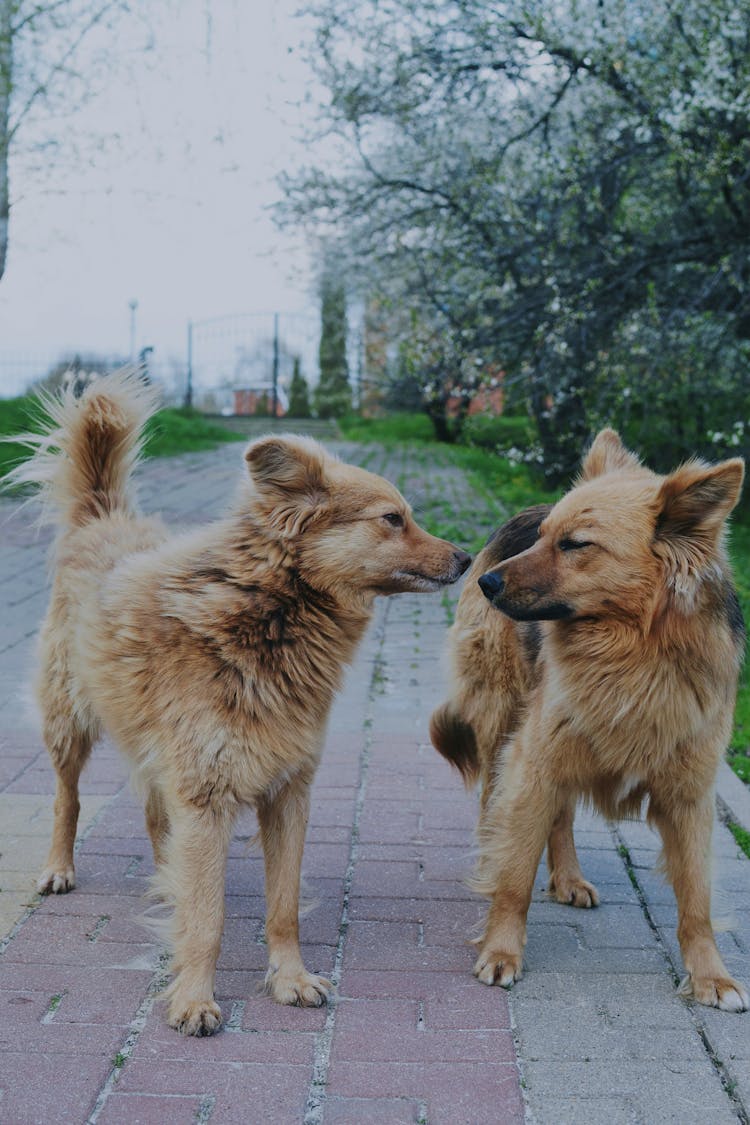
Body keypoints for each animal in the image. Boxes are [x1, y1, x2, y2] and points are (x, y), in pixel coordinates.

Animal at [8, 371, 470, 1035]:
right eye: (393, 519)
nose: (466, 559)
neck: (265, 614)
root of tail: (101, 517)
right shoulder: (207, 795)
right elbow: (207, 917)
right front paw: (195, 999)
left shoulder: (287, 792)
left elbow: (284, 906)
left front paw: (290, 978)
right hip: (69, 724)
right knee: (66, 798)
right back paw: (59, 867)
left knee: (155, 816)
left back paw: (163, 880)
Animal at [431, 427, 746, 1012]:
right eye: (544, 537)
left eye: (576, 544)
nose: (484, 581)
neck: (637, 654)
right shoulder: (534, 761)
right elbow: (513, 876)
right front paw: (501, 950)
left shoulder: (690, 793)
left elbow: (697, 900)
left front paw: (711, 975)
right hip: (507, 722)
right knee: (494, 802)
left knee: (561, 817)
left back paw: (568, 877)